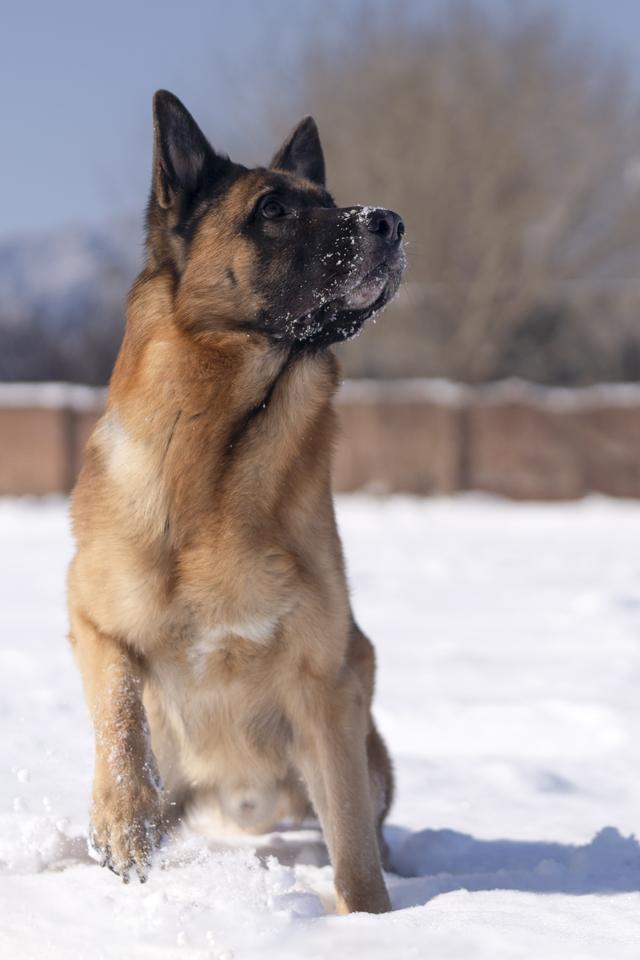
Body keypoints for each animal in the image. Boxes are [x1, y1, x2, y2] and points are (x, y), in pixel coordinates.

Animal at [66, 90, 404, 916]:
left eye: (330, 202)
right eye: (273, 209)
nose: (390, 221)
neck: (224, 463)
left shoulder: (328, 683)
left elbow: (353, 850)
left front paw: (371, 924)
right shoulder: (89, 616)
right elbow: (120, 712)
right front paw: (120, 820)